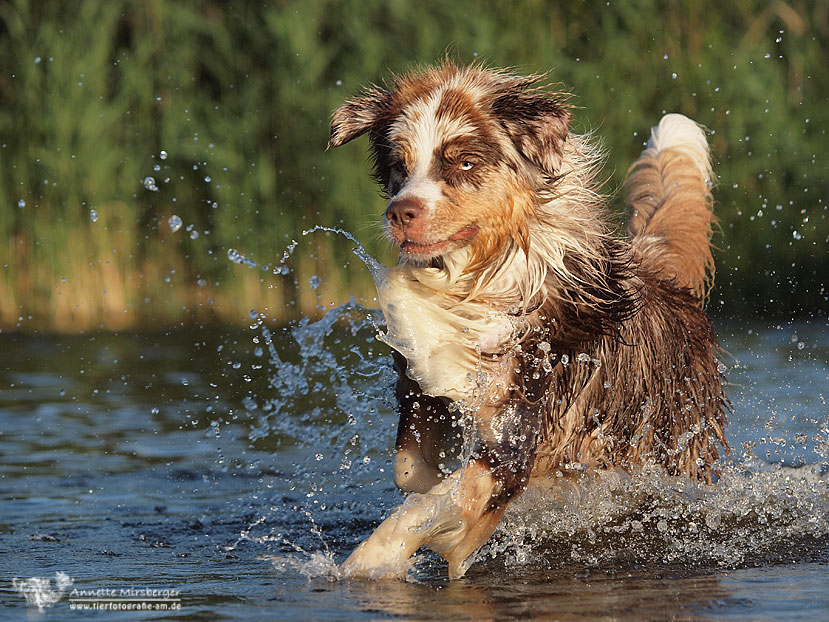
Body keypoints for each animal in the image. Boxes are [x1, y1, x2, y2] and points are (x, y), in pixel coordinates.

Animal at [324, 63, 724, 580]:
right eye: (399, 165)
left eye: (464, 163)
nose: (400, 212)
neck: (485, 282)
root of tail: (666, 280)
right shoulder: (423, 381)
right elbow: (413, 473)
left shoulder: (518, 428)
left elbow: (441, 500)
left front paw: (374, 559)